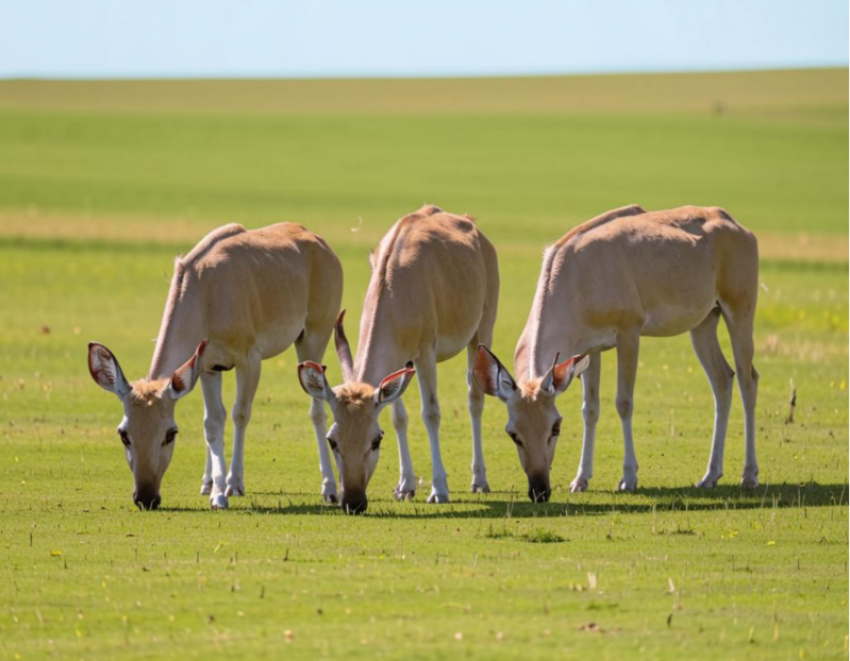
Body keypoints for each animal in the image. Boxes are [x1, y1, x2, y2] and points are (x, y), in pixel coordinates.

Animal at [88, 224, 342, 508]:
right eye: (124, 434)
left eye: (170, 433)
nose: (146, 497)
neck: (204, 290)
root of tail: (322, 245)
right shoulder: (207, 366)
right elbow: (212, 421)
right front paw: (215, 489)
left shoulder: (248, 360)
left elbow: (240, 414)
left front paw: (232, 484)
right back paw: (208, 481)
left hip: (313, 337)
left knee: (316, 410)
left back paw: (330, 488)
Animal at [296, 204, 496, 512]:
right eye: (332, 440)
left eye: (375, 441)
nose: (353, 502)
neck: (395, 285)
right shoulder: (400, 362)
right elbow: (398, 416)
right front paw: (406, 486)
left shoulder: (424, 353)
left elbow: (431, 413)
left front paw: (439, 489)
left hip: (482, 330)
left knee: (475, 398)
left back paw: (479, 480)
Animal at [474, 205, 760, 500]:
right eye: (513, 433)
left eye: (556, 426)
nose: (539, 490)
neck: (577, 276)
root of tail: (738, 227)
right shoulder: (589, 350)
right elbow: (590, 408)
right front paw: (580, 480)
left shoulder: (628, 333)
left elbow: (624, 402)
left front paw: (628, 478)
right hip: (704, 323)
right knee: (722, 380)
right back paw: (709, 476)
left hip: (739, 311)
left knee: (748, 380)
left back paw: (749, 476)